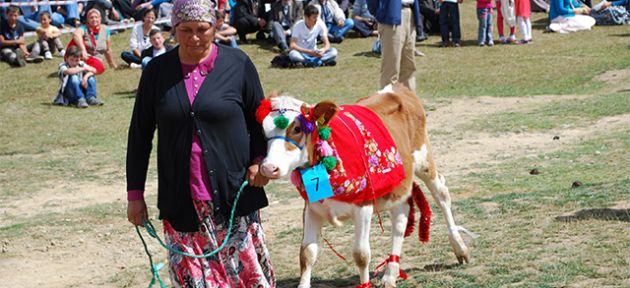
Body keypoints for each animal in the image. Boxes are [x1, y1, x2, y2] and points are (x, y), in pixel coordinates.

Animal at [260, 84, 472, 288]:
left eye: (297, 128)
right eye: (263, 130)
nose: (269, 167)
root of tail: (397, 88)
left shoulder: (363, 207)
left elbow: (361, 254)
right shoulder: (311, 208)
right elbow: (307, 253)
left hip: (424, 159)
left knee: (441, 195)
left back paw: (460, 248)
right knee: (401, 217)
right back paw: (391, 273)